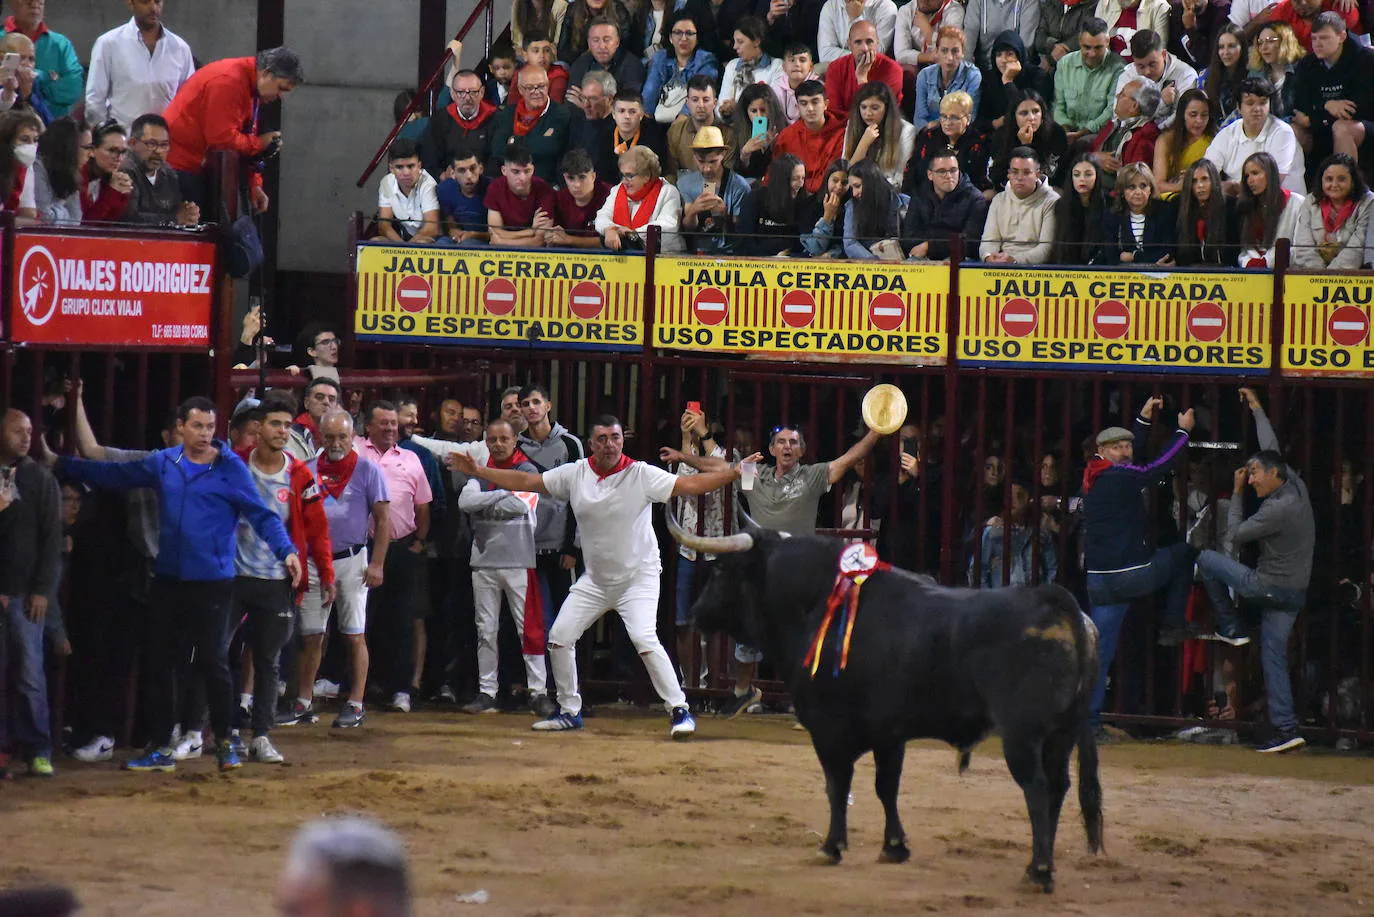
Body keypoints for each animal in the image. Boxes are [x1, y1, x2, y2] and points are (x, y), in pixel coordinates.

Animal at [670, 508, 1110, 890]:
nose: (696, 612)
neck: (816, 604)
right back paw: (1043, 865)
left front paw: (831, 846)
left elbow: (837, 785)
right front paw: (894, 847)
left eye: (720, 569)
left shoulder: (828, 728)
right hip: (1060, 735)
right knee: (1057, 788)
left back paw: (1038, 871)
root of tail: (1057, 601)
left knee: (1036, 789)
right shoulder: (890, 734)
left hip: (1022, 735)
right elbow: (887, 786)